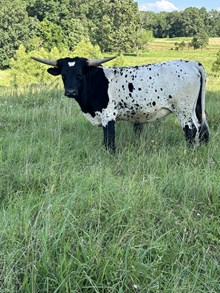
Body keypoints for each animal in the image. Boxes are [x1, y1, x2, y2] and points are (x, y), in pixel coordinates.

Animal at [31, 55, 210, 152]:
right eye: (63, 75)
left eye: (80, 74)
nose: (70, 92)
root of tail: (192, 63)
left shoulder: (108, 116)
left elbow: (109, 141)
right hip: (195, 108)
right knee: (202, 128)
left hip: (183, 110)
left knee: (191, 129)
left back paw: (189, 151)